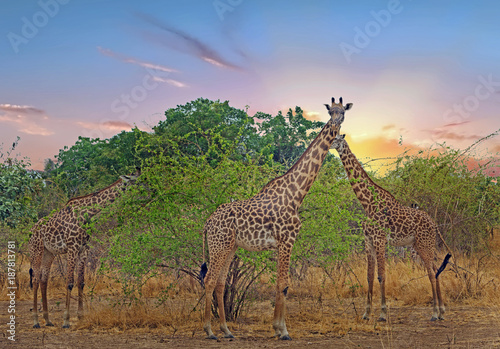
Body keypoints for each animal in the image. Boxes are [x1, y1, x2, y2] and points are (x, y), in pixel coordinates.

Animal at [28, 170, 140, 328]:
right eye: (137, 180)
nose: (149, 186)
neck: (88, 213)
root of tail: (31, 231)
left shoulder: (83, 249)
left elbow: (81, 282)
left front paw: (80, 316)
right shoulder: (72, 248)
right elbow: (69, 283)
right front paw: (66, 320)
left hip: (49, 252)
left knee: (44, 279)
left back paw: (48, 320)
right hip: (36, 249)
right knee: (36, 279)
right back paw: (36, 321)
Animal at [199, 96, 352, 338]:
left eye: (343, 112)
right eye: (331, 112)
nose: (336, 124)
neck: (297, 194)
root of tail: (207, 223)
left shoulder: (282, 242)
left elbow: (282, 284)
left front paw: (278, 328)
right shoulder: (287, 239)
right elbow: (283, 284)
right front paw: (282, 330)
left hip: (229, 247)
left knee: (221, 283)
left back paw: (227, 330)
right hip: (218, 245)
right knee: (210, 280)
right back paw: (209, 330)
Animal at [330, 133, 452, 320]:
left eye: (336, 138)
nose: (328, 143)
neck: (367, 203)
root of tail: (434, 224)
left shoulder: (379, 239)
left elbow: (381, 275)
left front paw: (382, 313)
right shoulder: (368, 240)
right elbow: (369, 276)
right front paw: (366, 313)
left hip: (425, 244)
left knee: (432, 273)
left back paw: (434, 313)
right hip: (421, 245)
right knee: (436, 269)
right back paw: (441, 311)